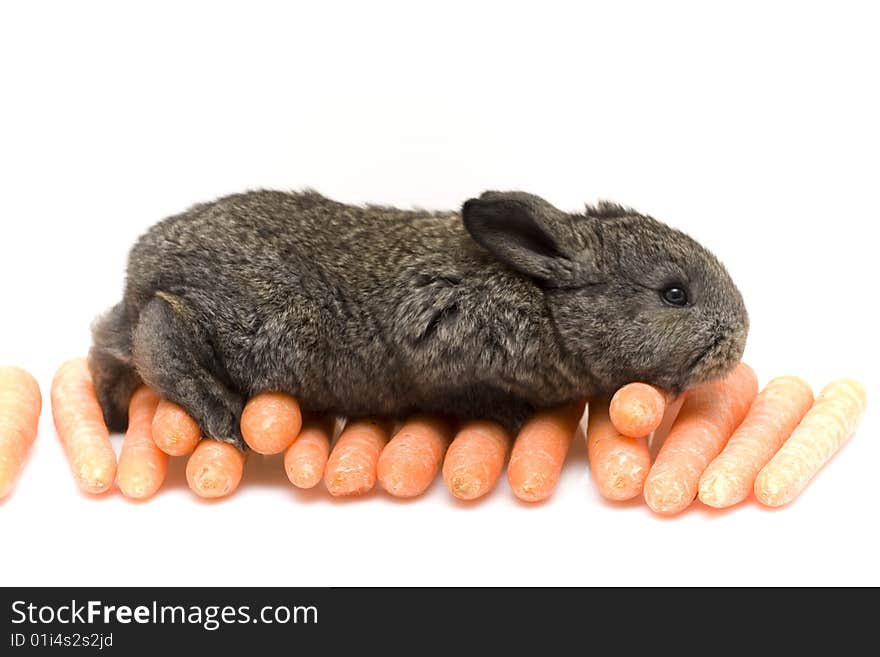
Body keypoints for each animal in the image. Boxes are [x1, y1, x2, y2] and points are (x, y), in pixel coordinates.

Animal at [87, 187, 748, 448]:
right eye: (674, 294)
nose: (740, 338)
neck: (546, 301)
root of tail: (143, 265)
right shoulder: (446, 354)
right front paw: (515, 418)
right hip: (259, 326)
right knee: (159, 333)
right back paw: (218, 412)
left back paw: (113, 414)